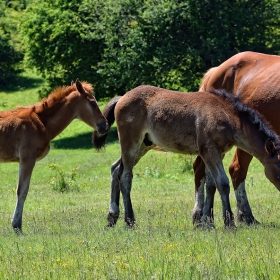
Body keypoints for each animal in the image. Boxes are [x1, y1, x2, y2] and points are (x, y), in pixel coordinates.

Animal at [2, 79, 107, 232]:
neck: (40, 123)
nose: (105, 125)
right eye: (93, 103)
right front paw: (17, 226)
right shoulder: (27, 158)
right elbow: (22, 190)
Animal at [93, 86, 280, 229]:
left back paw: (112, 217)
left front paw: (207, 222)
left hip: (144, 145)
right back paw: (129, 220)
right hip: (130, 143)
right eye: (278, 170)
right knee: (125, 176)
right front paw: (229, 223)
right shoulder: (209, 150)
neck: (226, 115)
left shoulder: (217, 152)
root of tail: (122, 97)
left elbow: (211, 185)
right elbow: (222, 183)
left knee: (116, 169)